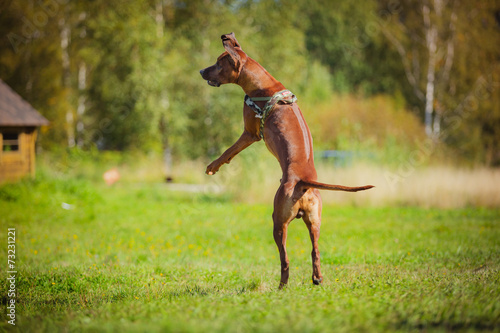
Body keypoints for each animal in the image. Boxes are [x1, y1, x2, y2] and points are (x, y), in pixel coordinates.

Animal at [198, 31, 372, 288]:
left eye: (219, 64)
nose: (201, 71)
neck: (263, 84)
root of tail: (303, 182)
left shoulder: (249, 133)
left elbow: (229, 150)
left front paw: (213, 166)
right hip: (315, 222)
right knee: (315, 251)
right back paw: (317, 278)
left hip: (278, 222)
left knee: (286, 259)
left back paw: (281, 287)